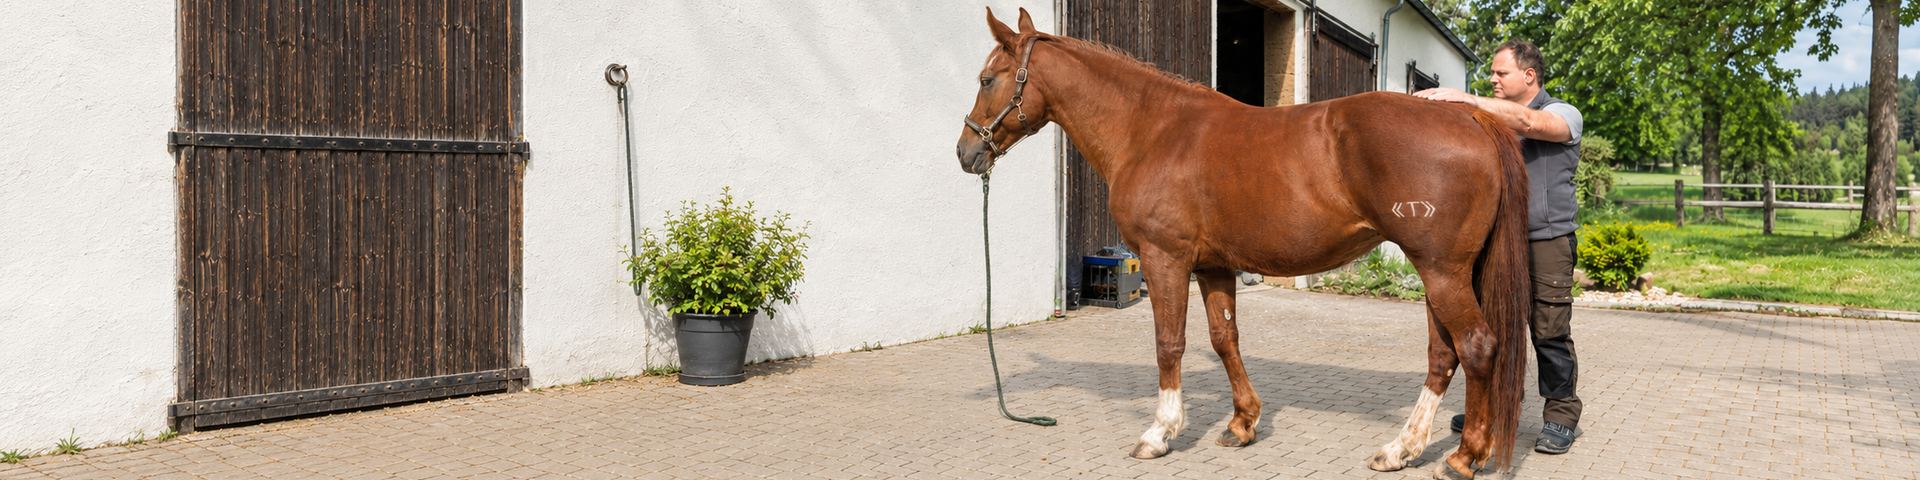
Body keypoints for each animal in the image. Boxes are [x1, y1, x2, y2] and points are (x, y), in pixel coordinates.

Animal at [955, 8, 1531, 479]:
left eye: (987, 78)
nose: (965, 152)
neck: (1152, 129)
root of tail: (1470, 115)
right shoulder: (1214, 267)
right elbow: (1223, 339)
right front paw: (1241, 424)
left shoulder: (1166, 259)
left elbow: (1170, 343)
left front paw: (1160, 432)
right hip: (1444, 272)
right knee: (1444, 354)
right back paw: (1402, 449)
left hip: (1440, 269)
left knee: (1476, 347)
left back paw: (1462, 458)